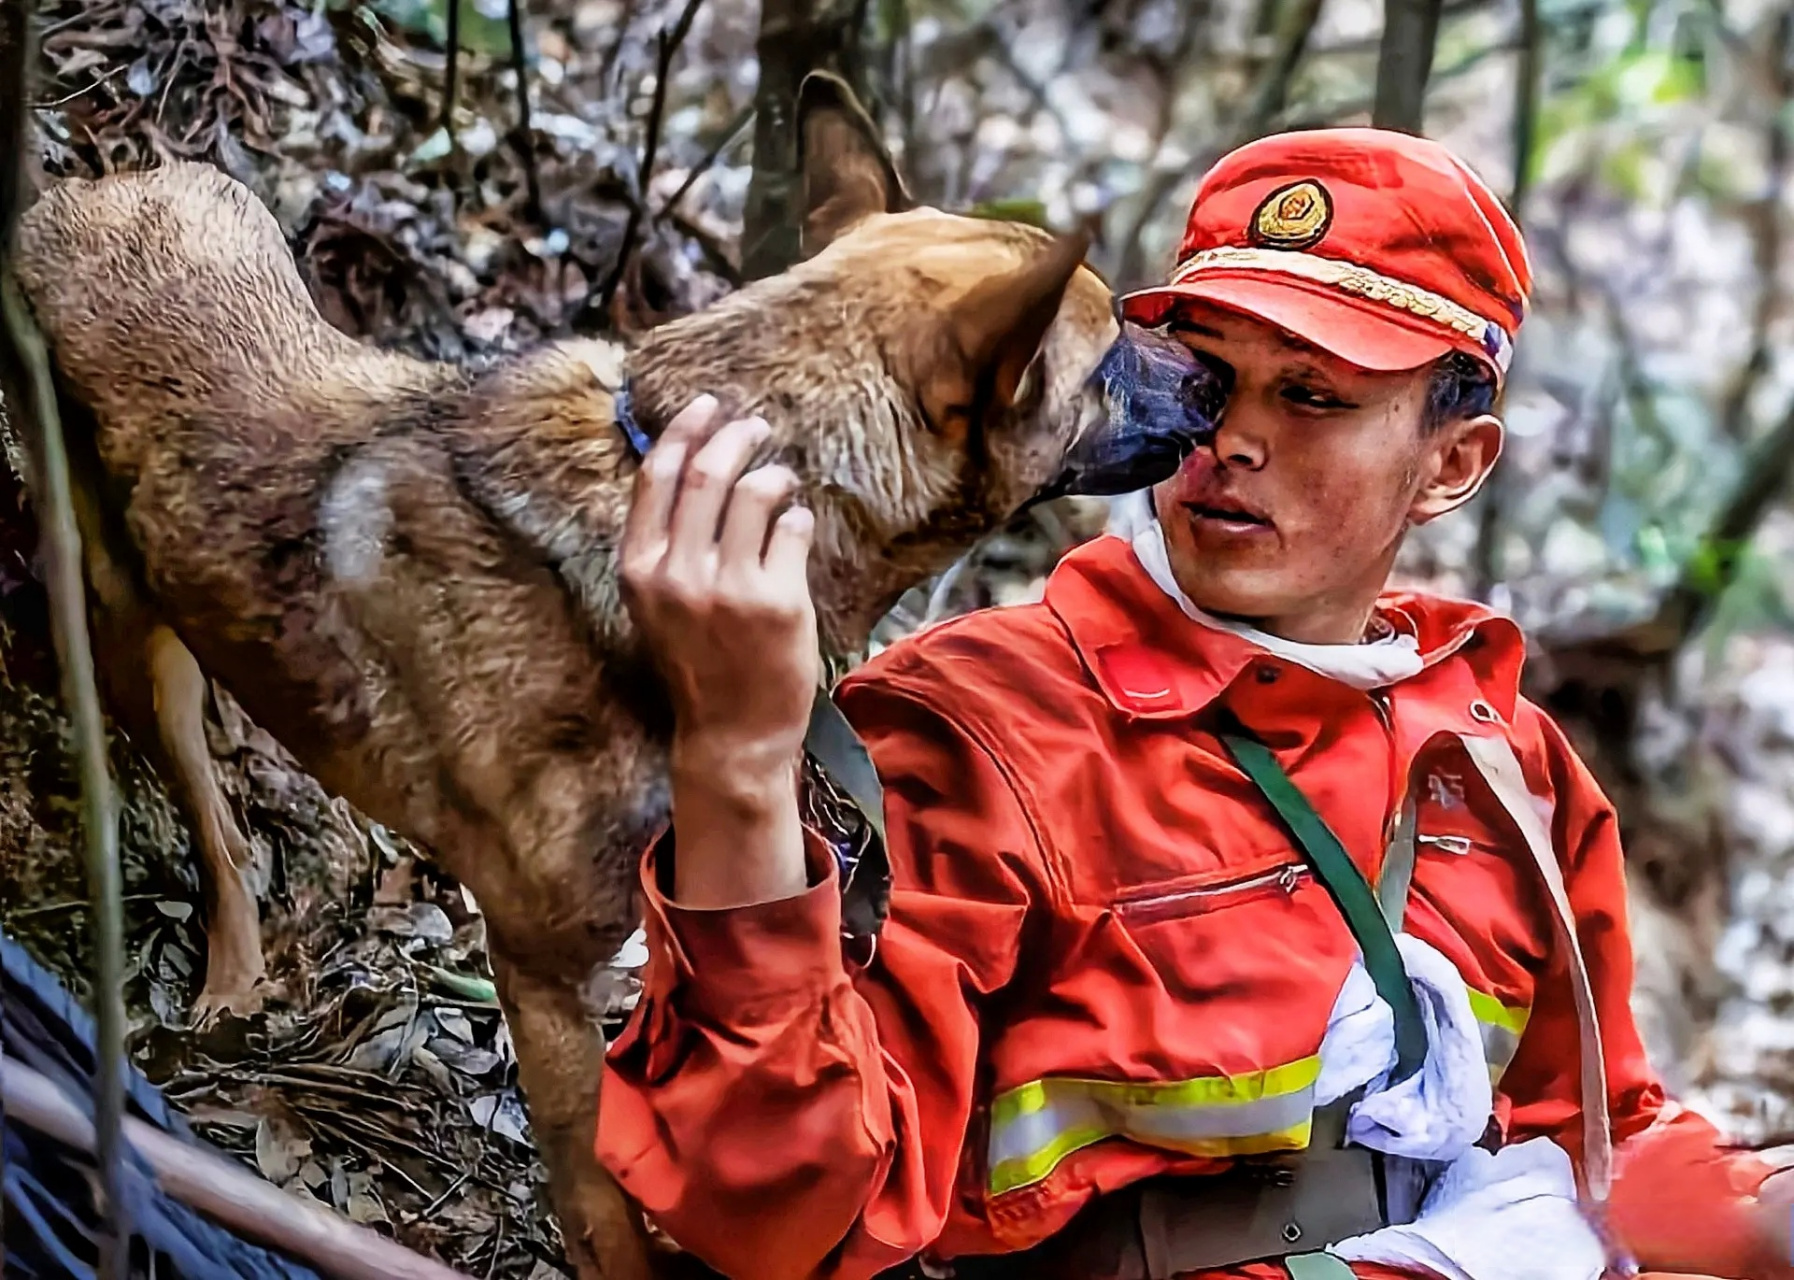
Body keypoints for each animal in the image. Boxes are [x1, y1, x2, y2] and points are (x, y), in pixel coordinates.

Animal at [10, 72, 1133, 1278]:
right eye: (1114, 357)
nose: (1206, 374)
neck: (647, 491)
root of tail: (88, 188)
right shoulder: (544, 976)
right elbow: (605, 1211)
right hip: (126, 630)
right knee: (211, 824)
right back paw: (225, 972)